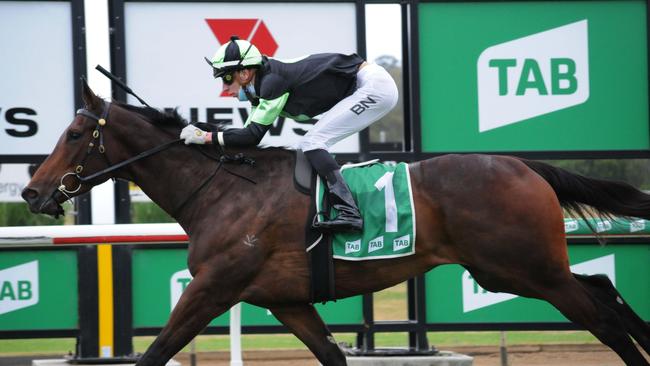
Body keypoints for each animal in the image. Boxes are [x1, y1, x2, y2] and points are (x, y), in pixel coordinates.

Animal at [21, 83, 648, 366]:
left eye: (74, 134)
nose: (31, 192)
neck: (224, 190)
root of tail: (525, 164)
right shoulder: (285, 301)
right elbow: (333, 355)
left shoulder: (213, 288)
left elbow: (156, 353)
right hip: (513, 269)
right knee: (603, 287)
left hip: (526, 269)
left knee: (601, 315)